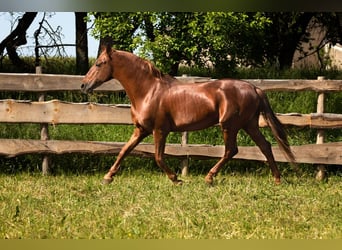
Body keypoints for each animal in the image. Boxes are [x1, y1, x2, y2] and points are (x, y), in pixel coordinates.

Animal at [81, 45, 296, 186]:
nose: (83, 85)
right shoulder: (141, 130)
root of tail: (254, 88)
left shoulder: (160, 130)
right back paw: (277, 179)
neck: (148, 91)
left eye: (99, 64)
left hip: (230, 125)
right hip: (249, 124)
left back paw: (209, 178)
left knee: (231, 150)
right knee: (265, 146)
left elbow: (158, 157)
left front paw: (176, 179)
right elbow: (124, 150)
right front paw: (108, 177)